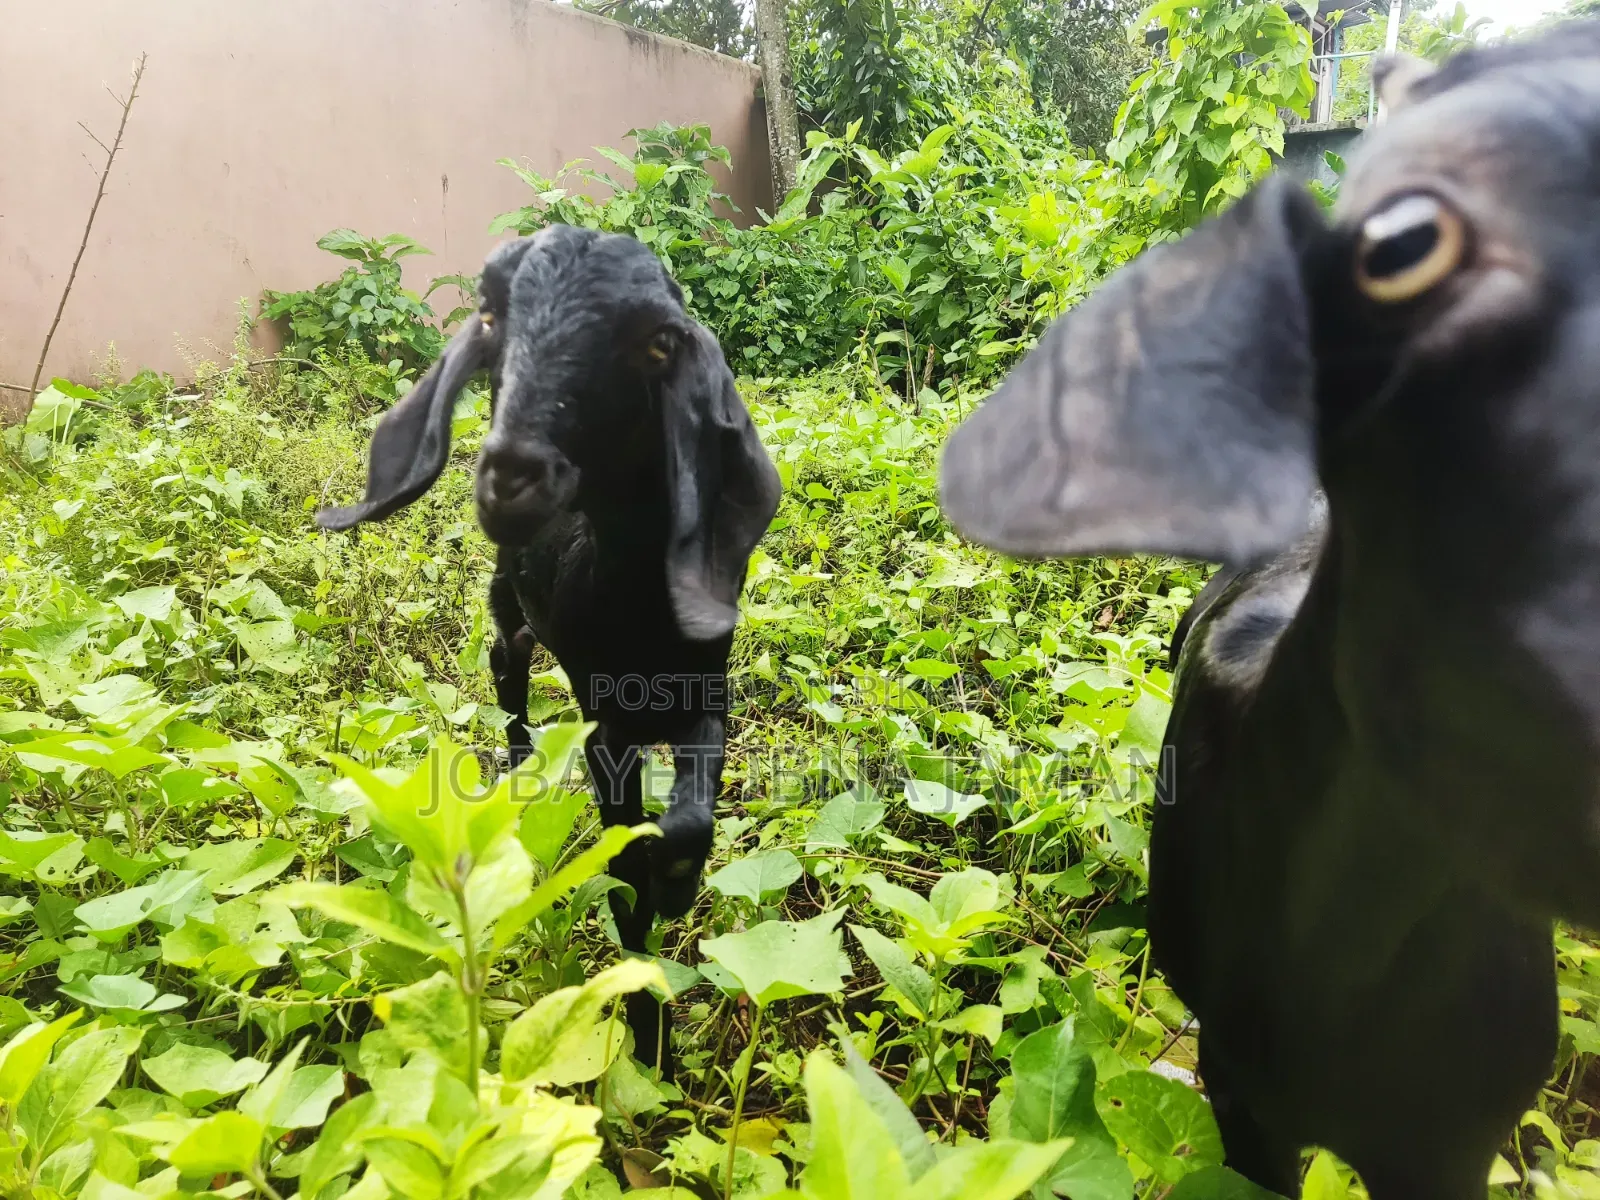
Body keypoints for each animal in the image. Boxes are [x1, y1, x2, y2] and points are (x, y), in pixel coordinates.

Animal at [318, 225, 782, 1081]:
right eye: (490, 316)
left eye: (657, 343)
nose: (511, 476)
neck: (639, 613)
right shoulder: (608, 734)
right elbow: (621, 874)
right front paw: (647, 1033)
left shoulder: (706, 699)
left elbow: (690, 816)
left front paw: (677, 883)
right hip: (508, 628)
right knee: (511, 699)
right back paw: (521, 769)